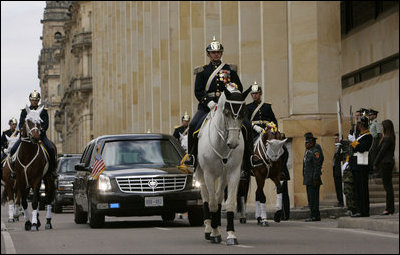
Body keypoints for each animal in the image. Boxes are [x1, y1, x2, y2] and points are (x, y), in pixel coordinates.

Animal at [195, 85, 250, 245]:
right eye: (226, 113)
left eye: (244, 113)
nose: (233, 143)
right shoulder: (208, 174)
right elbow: (212, 203)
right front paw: (214, 233)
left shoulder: (233, 173)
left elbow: (229, 202)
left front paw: (231, 234)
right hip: (201, 174)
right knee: (207, 198)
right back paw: (209, 229)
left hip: (223, 175)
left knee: (219, 197)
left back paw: (217, 226)